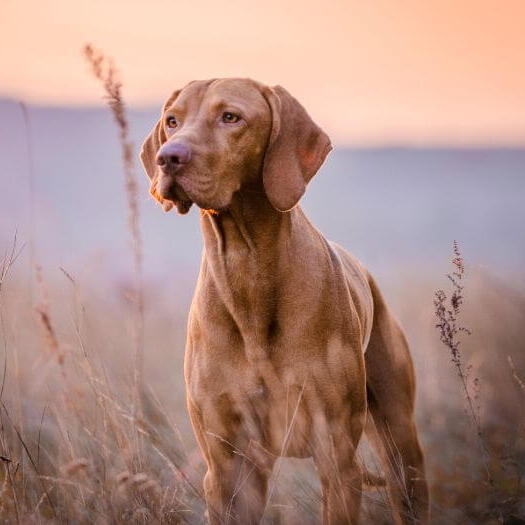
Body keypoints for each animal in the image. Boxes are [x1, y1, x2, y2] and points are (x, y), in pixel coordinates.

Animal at [141, 79, 428, 524]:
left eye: (230, 117)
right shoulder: (228, 467)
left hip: (400, 444)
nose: (168, 157)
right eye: (172, 121)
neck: (248, 272)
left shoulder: (336, 456)